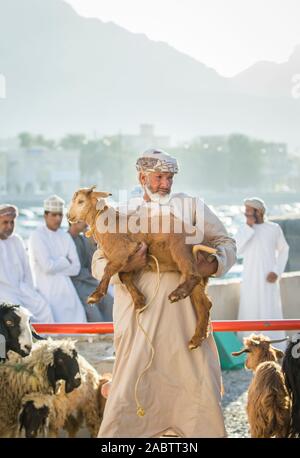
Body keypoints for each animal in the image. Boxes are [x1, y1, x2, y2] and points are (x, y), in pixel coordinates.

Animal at [67, 185, 216, 348]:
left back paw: (177, 294)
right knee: (204, 304)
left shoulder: (122, 250)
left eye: (81, 201)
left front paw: (95, 296)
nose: (68, 216)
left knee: (194, 277)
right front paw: (139, 301)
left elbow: (108, 270)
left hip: (180, 246)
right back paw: (196, 338)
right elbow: (123, 275)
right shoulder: (130, 259)